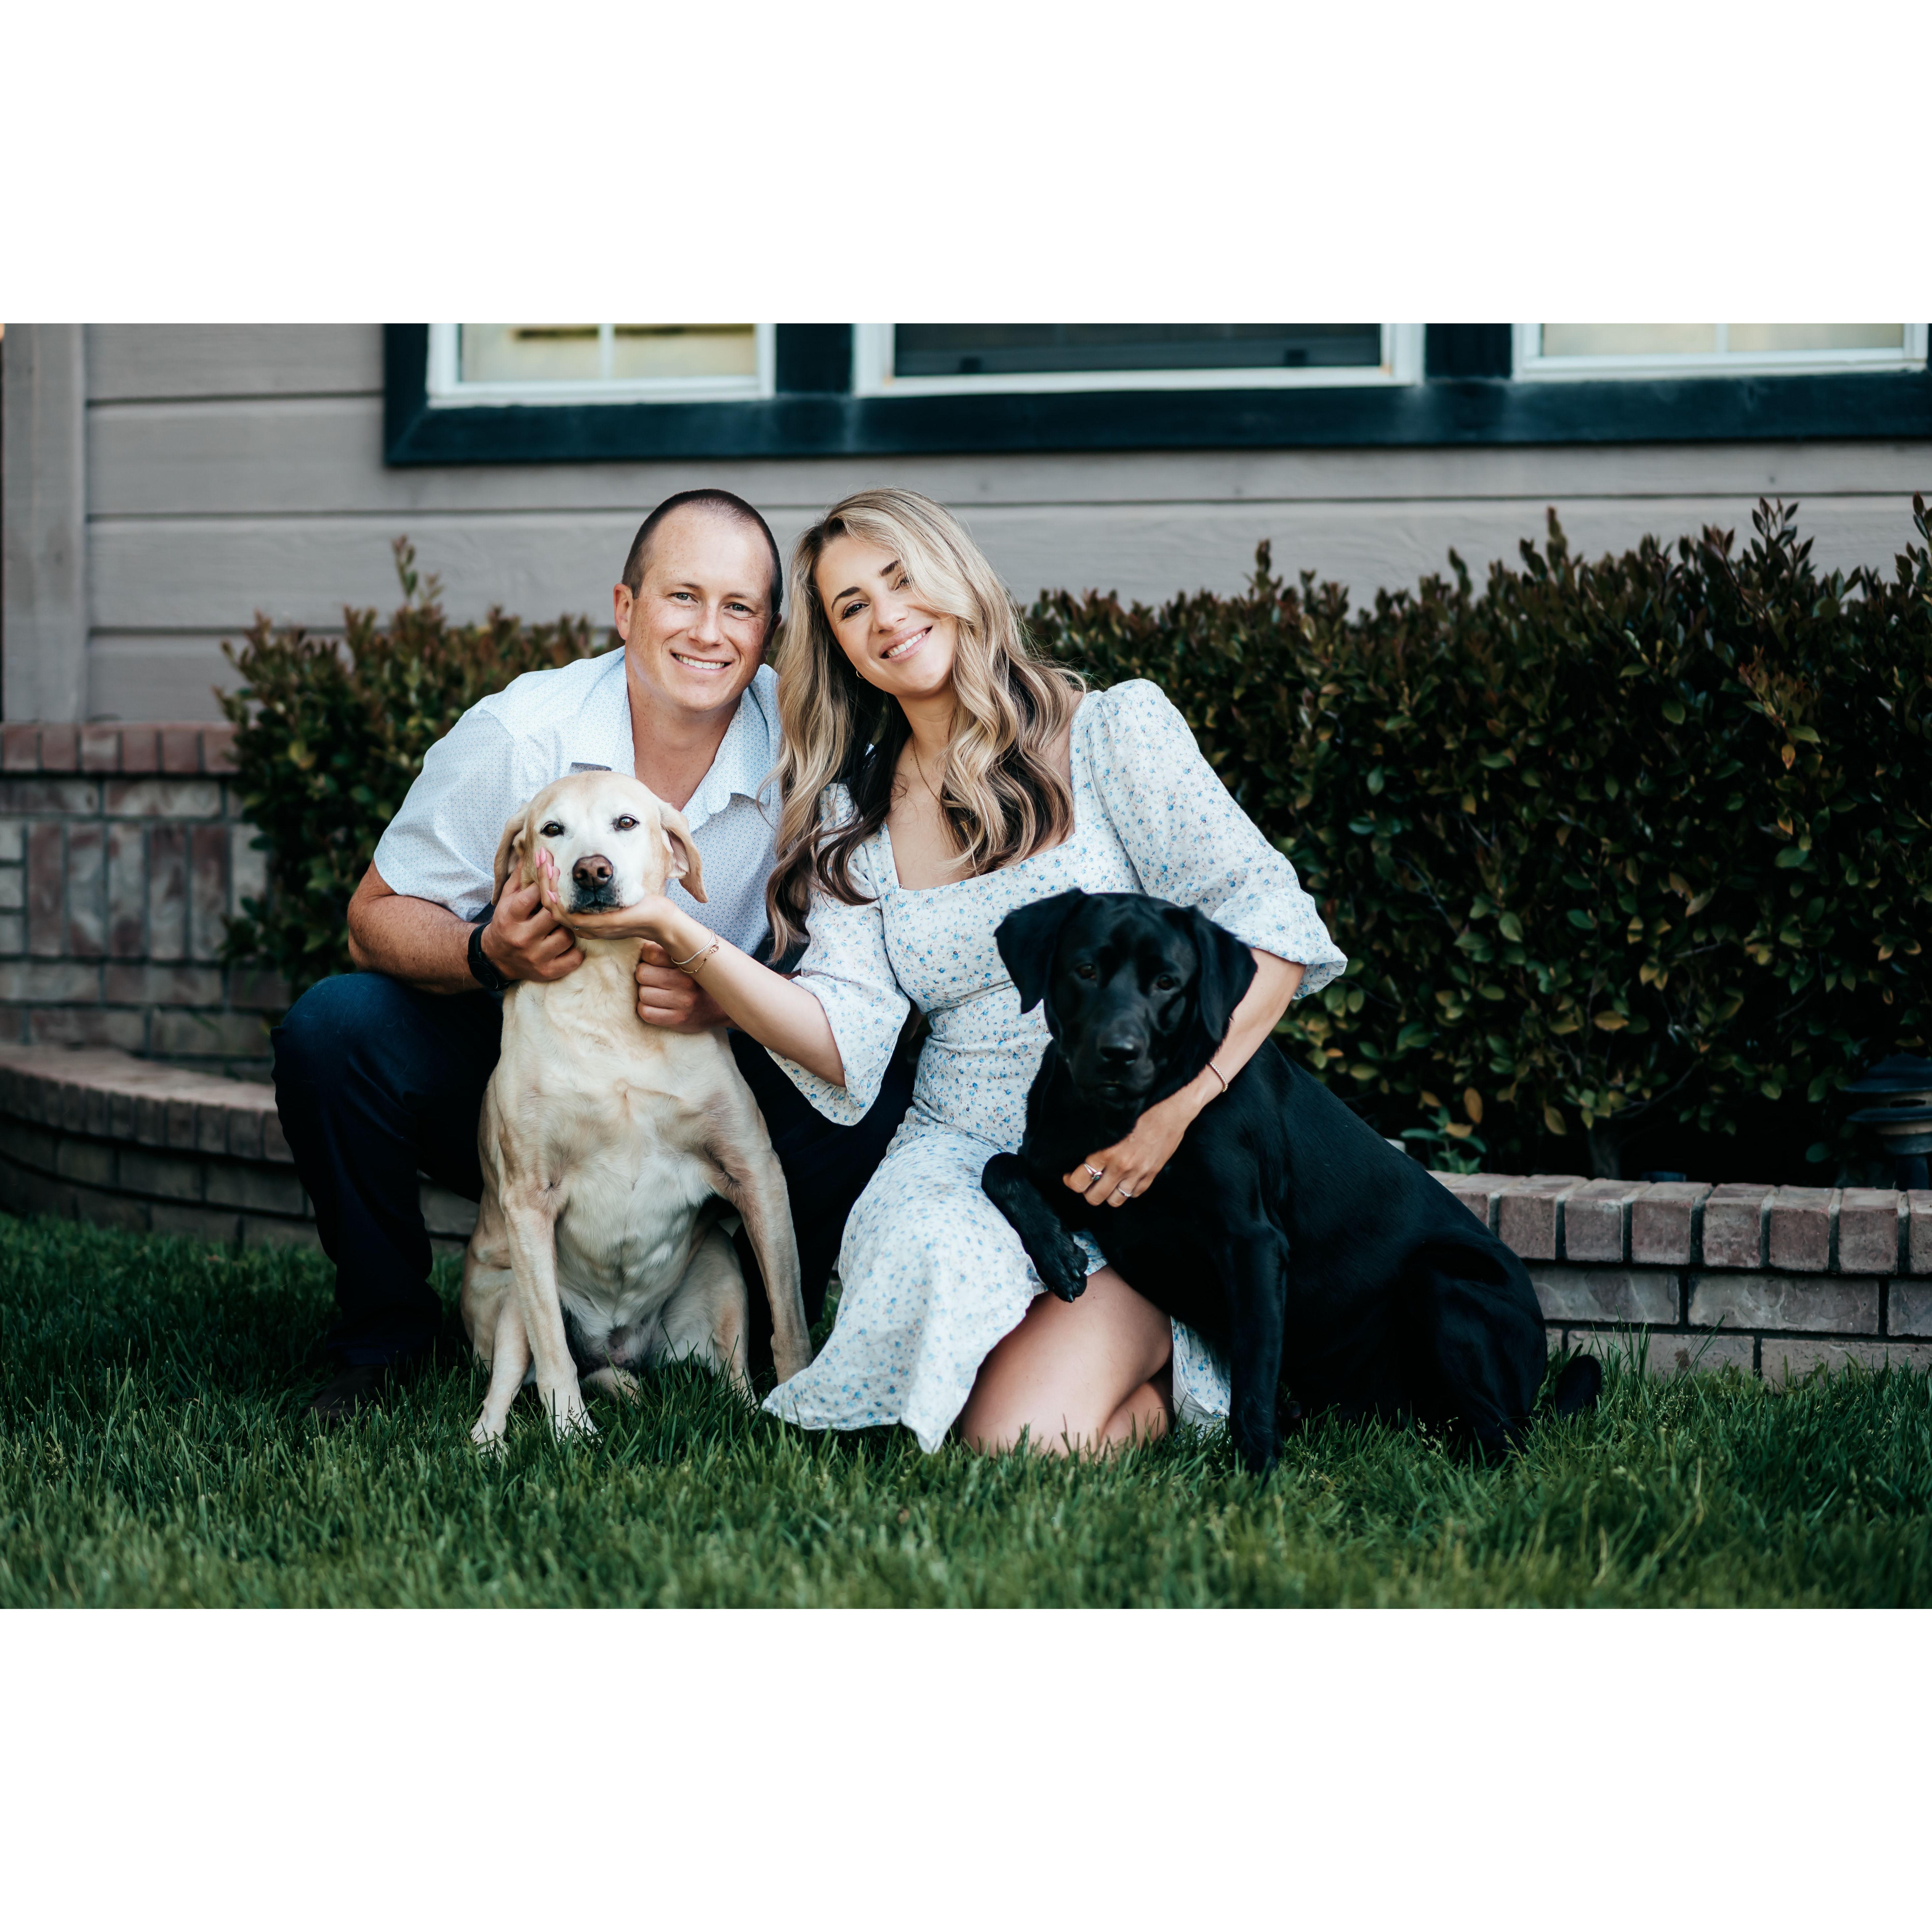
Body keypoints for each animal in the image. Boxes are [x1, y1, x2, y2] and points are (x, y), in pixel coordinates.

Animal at [461, 769, 809, 1446]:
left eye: (626, 822)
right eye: (552, 829)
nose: (592, 871)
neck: (606, 993)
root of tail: (618, 1345)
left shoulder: (757, 1172)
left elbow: (790, 1316)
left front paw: (801, 1405)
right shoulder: (526, 1197)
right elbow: (552, 1354)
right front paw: (572, 1433)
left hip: (722, 1269)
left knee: (731, 1371)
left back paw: (752, 1413)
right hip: (513, 1290)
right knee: (511, 1380)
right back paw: (491, 1443)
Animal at [980, 889, 1600, 1474]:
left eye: (1166, 982)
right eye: (1085, 969)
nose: (1118, 1053)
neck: (1121, 1115)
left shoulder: (1252, 1242)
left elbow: (1252, 1380)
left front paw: (1257, 1476)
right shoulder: (1084, 1188)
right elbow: (999, 1170)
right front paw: (1058, 1254)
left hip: (1439, 1279)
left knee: (1503, 1435)